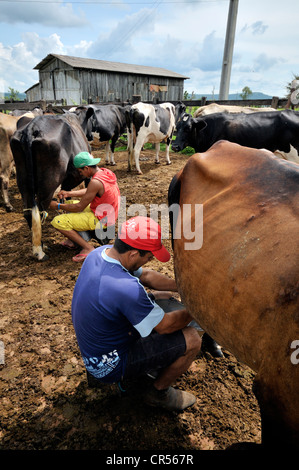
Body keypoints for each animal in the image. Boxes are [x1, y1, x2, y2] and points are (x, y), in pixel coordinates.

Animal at [10, 113, 90, 260]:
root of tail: (31, 128)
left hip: (23, 180)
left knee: (29, 212)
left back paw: (42, 247)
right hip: (49, 184)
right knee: (40, 211)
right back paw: (39, 252)